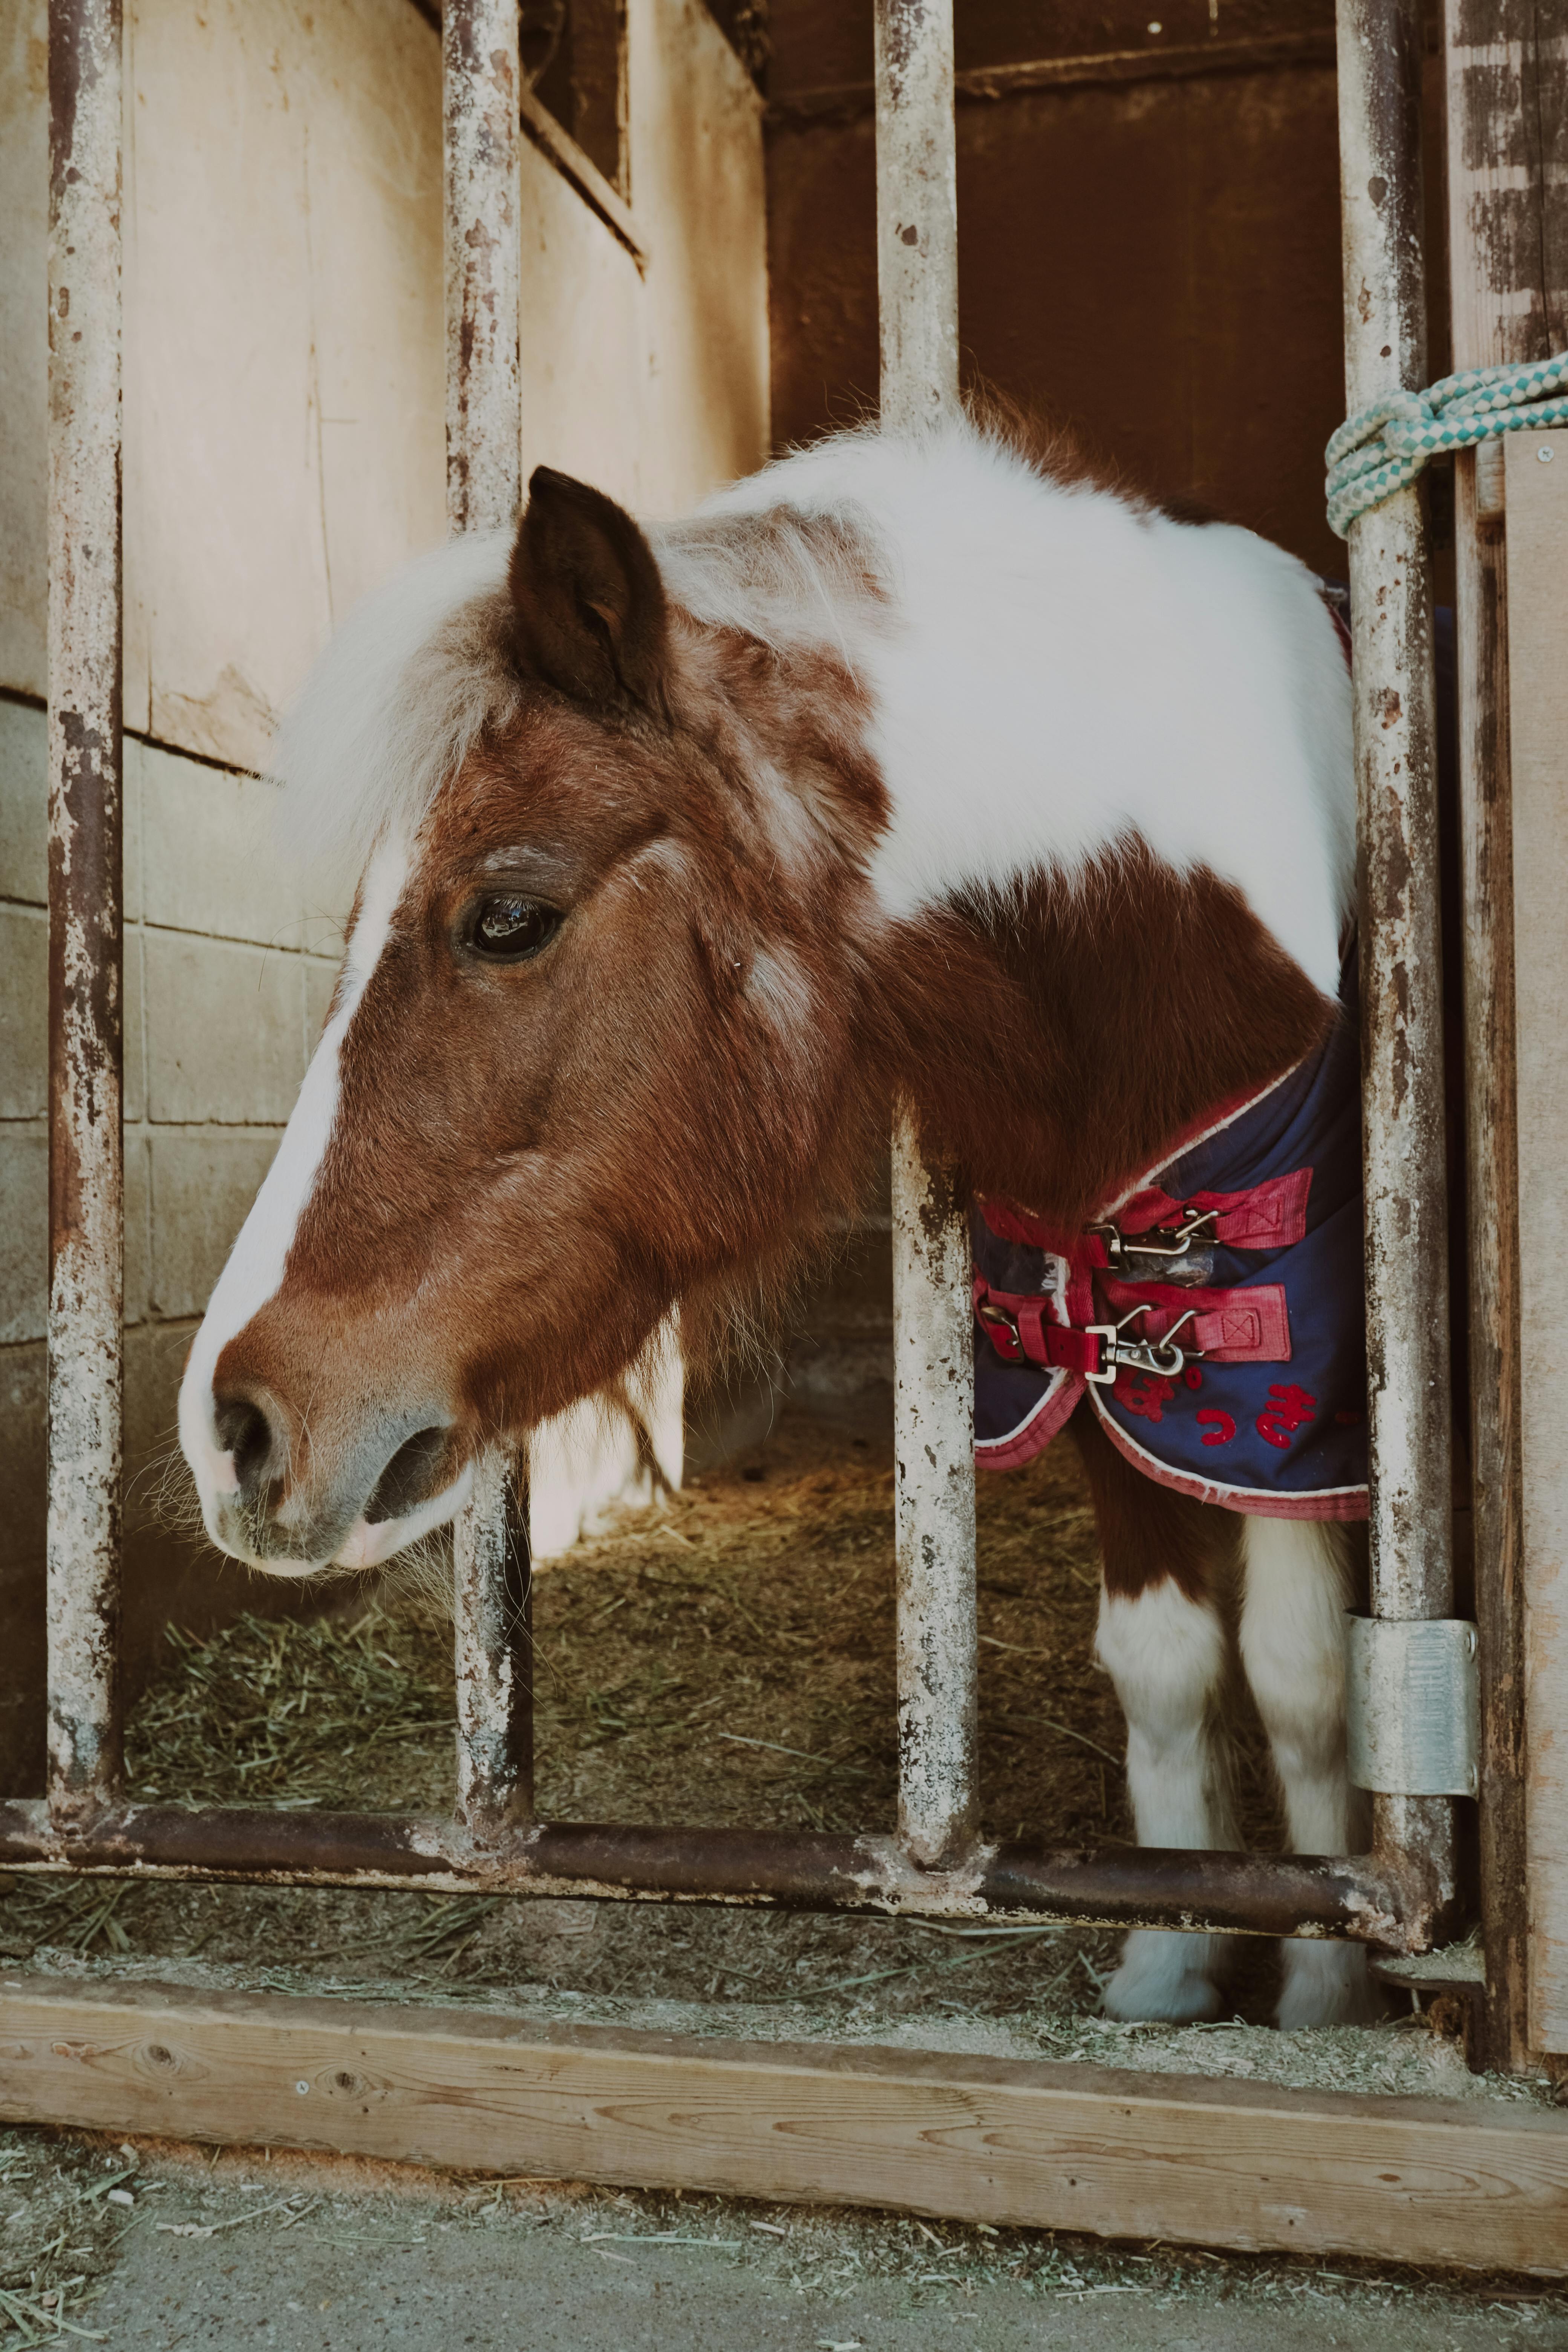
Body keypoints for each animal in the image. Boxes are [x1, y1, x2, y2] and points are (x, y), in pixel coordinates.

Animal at [177, 411, 1375, 2029]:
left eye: (508, 917)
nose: (232, 1428)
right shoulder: (1096, 1353)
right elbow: (1167, 1657)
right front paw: (1177, 1954)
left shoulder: (1287, 1388)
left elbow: (1305, 1671)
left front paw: (1321, 1978)